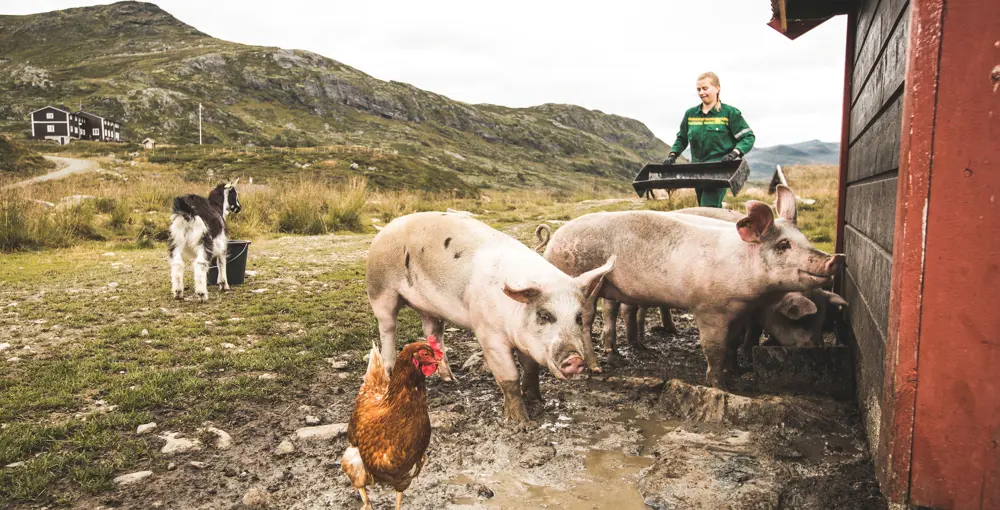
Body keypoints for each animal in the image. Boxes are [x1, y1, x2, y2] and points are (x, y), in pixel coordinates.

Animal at [364, 211, 612, 426]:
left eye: (578, 317)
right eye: (544, 315)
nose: (575, 359)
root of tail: (386, 227)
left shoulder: (524, 340)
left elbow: (530, 368)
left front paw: (537, 400)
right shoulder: (488, 334)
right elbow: (509, 377)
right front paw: (520, 422)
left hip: (430, 310)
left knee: (433, 333)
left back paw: (451, 380)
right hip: (380, 290)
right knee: (387, 329)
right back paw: (389, 373)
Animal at [540, 185, 844, 388]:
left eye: (804, 238)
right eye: (783, 245)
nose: (833, 259)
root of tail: (553, 241)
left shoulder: (740, 312)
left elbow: (733, 341)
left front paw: (737, 372)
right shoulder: (708, 308)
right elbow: (714, 347)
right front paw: (720, 385)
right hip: (581, 281)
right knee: (586, 321)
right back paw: (598, 369)